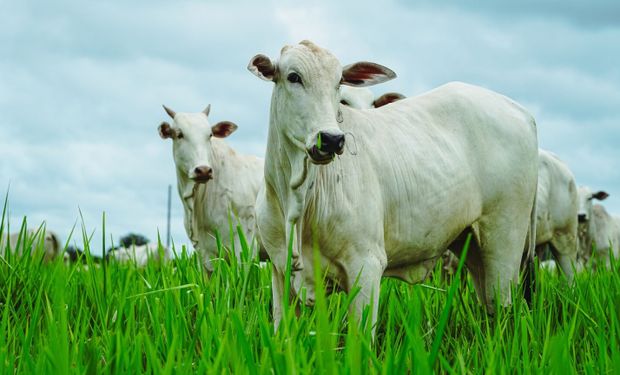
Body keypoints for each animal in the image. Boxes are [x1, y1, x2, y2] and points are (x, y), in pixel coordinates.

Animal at [247, 40, 536, 332]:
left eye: (338, 82)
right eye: (294, 77)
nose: (330, 139)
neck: (297, 196)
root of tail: (521, 112)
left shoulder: (367, 265)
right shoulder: (279, 272)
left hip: (504, 240)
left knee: (503, 305)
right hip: (474, 247)